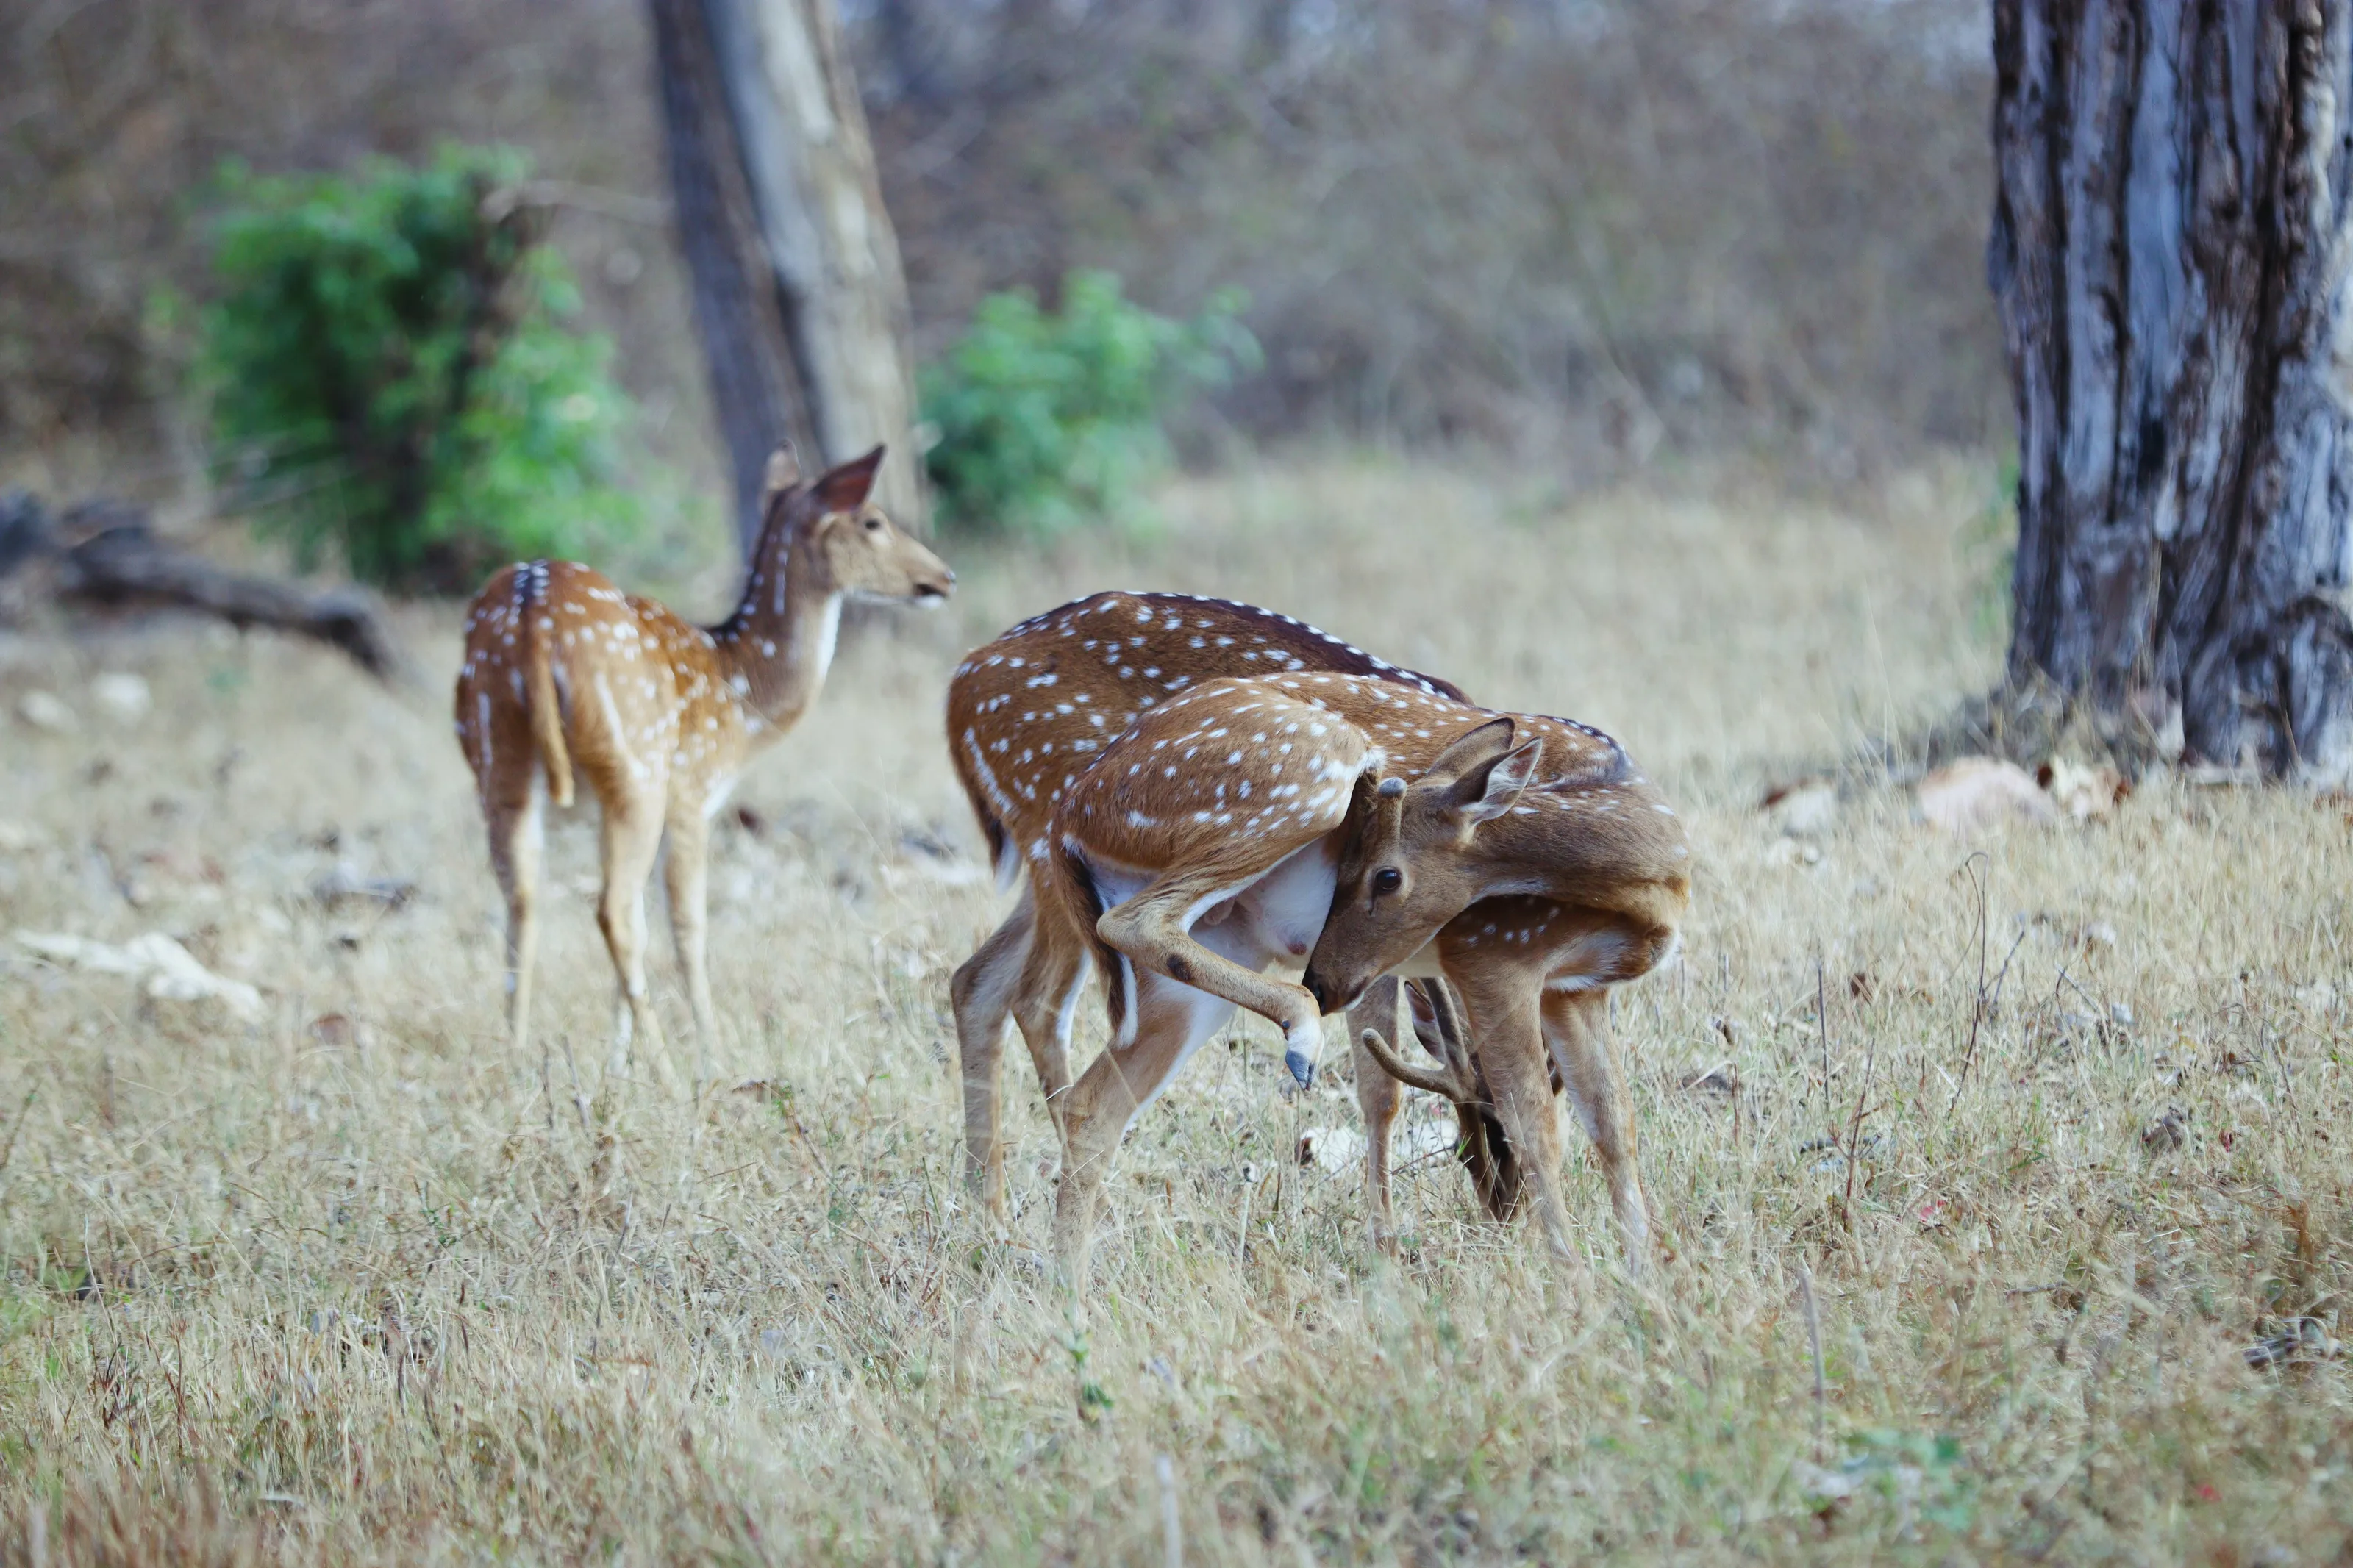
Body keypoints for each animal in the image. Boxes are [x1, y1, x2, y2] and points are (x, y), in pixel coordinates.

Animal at [454, 445, 954, 1089]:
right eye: (873, 520)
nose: (943, 577)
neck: (740, 699)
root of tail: (530, 620)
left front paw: (617, 1063)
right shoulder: (693, 793)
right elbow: (689, 926)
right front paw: (711, 1057)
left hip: (500, 762)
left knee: (524, 899)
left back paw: (516, 1058)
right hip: (637, 767)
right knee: (612, 910)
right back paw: (668, 1071)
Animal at [944, 591, 1471, 1214]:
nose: (1502, 1195)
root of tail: (962, 684)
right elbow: (1382, 1088)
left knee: (978, 980)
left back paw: (989, 1210)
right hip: (1062, 839)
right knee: (1040, 996)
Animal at [1031, 670, 1688, 1293]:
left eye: (1385, 875)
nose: (1322, 979)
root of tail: (1069, 818)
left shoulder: (1576, 988)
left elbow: (1614, 1124)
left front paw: (1645, 1283)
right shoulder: (1494, 953)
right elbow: (1536, 1127)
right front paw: (1575, 1286)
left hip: (1207, 960)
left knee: (1093, 1105)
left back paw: (1070, 1297)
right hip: (1307, 769)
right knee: (1132, 922)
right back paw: (1301, 1036)